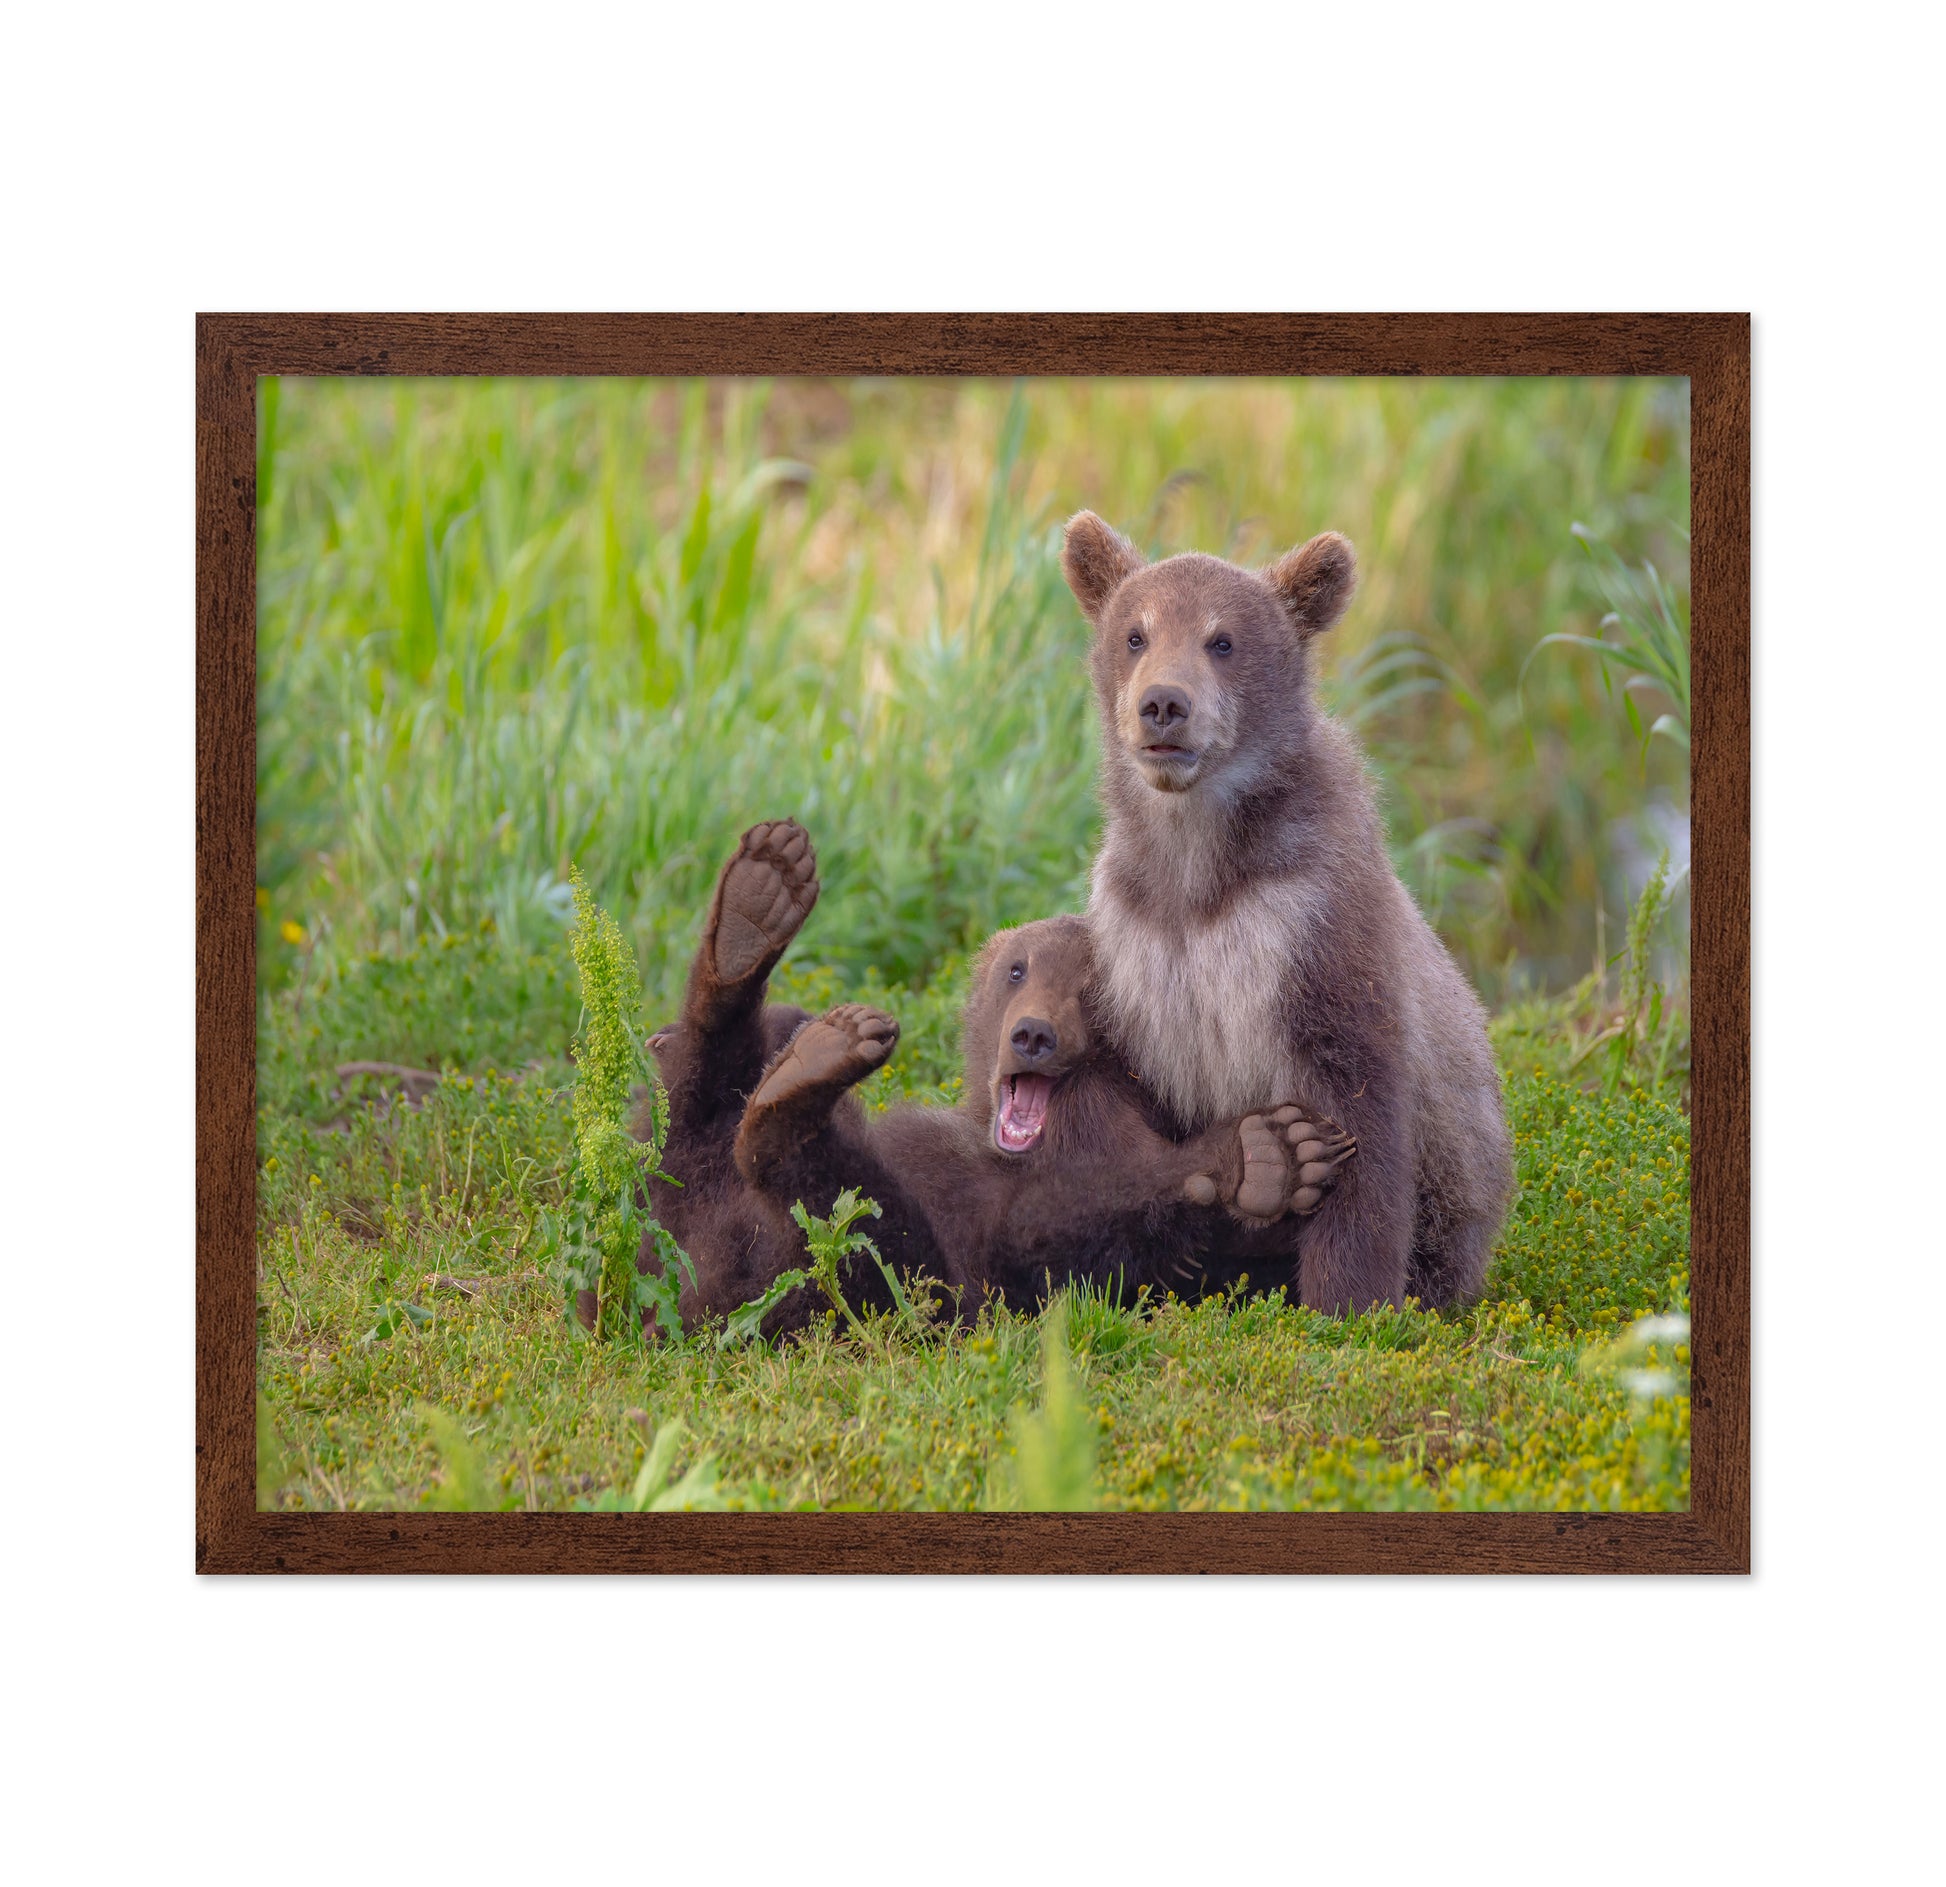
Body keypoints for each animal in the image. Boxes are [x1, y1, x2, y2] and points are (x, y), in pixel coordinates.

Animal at [638, 821, 1354, 1330]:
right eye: (1018, 969)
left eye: (1093, 993)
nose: (1033, 1034)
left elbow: (1051, 1242)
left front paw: (1264, 1155)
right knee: (691, 1111)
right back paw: (757, 906)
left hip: (809, 1282)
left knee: (853, 1234)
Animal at [1059, 510, 1514, 1313]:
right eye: (1136, 633)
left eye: (1222, 640)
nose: (1163, 704)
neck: (1199, 870)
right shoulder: (1136, 944)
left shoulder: (1308, 922)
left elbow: (1358, 1106)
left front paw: (1348, 1300)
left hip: (1460, 1186)